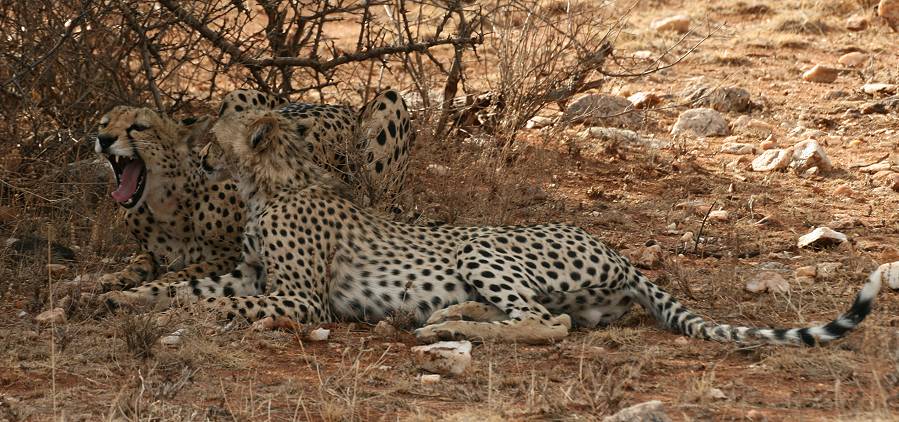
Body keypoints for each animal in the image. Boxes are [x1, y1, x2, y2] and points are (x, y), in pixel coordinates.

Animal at [107, 104, 884, 348]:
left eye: (220, 118)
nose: (194, 144)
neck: (270, 181)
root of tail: (617, 251)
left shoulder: (298, 296)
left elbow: (226, 305)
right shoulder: (247, 270)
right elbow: (187, 286)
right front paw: (114, 296)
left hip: (481, 244)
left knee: (546, 323)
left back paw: (449, 328)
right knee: (534, 314)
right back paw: (448, 315)